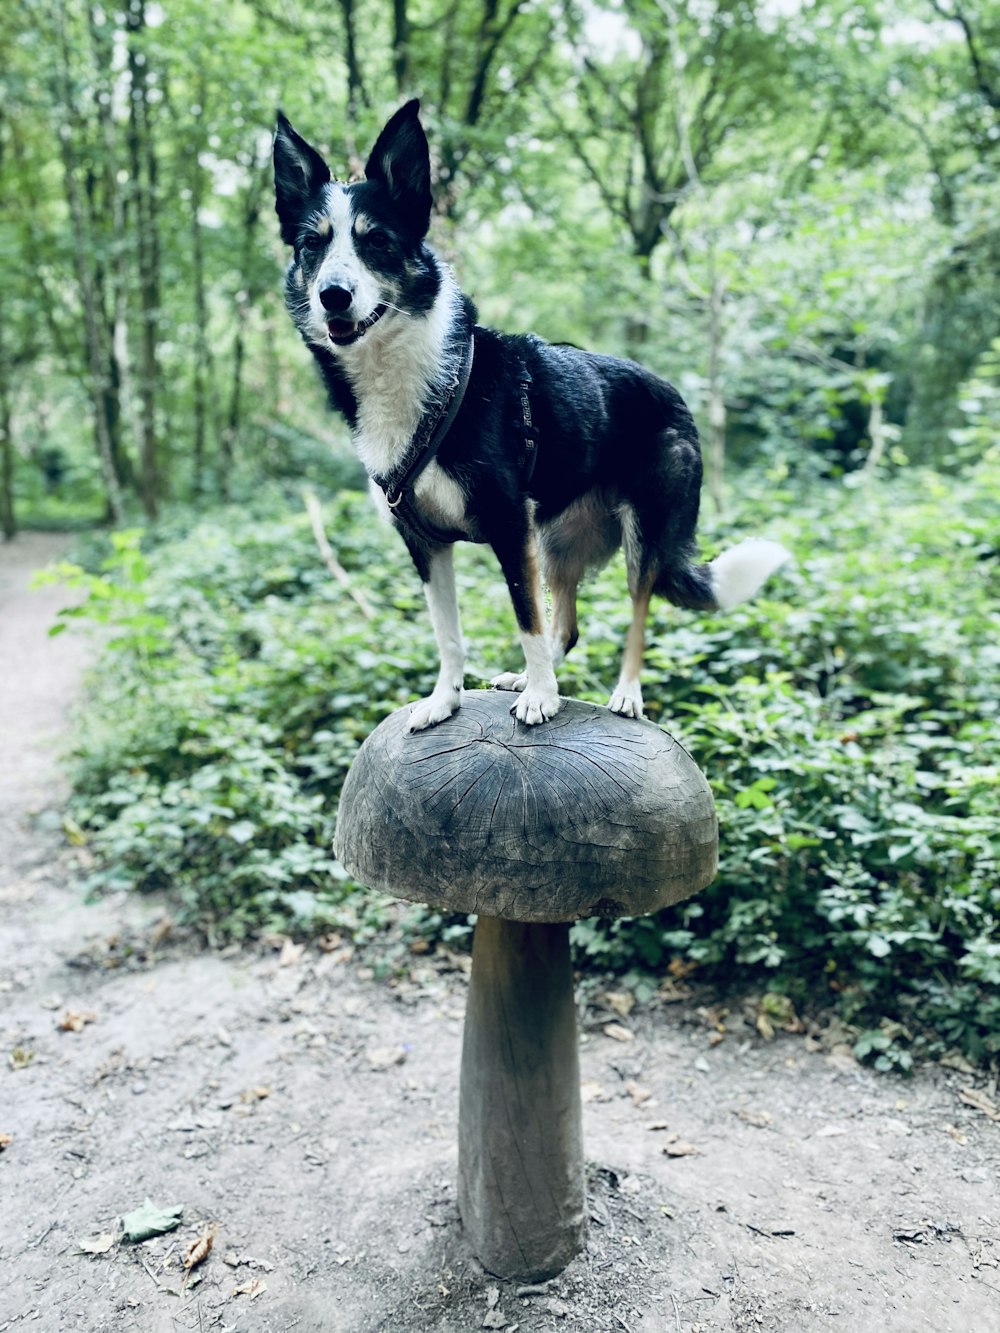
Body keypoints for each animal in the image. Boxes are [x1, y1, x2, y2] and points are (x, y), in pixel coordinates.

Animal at [274, 99, 789, 735]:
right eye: (312, 245)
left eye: (376, 242)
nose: (333, 295)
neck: (413, 379)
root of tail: (676, 396)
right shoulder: (426, 544)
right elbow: (450, 634)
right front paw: (445, 700)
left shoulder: (508, 528)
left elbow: (526, 618)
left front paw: (542, 698)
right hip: (557, 541)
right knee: (566, 625)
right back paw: (528, 677)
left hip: (641, 535)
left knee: (635, 616)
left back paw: (624, 694)